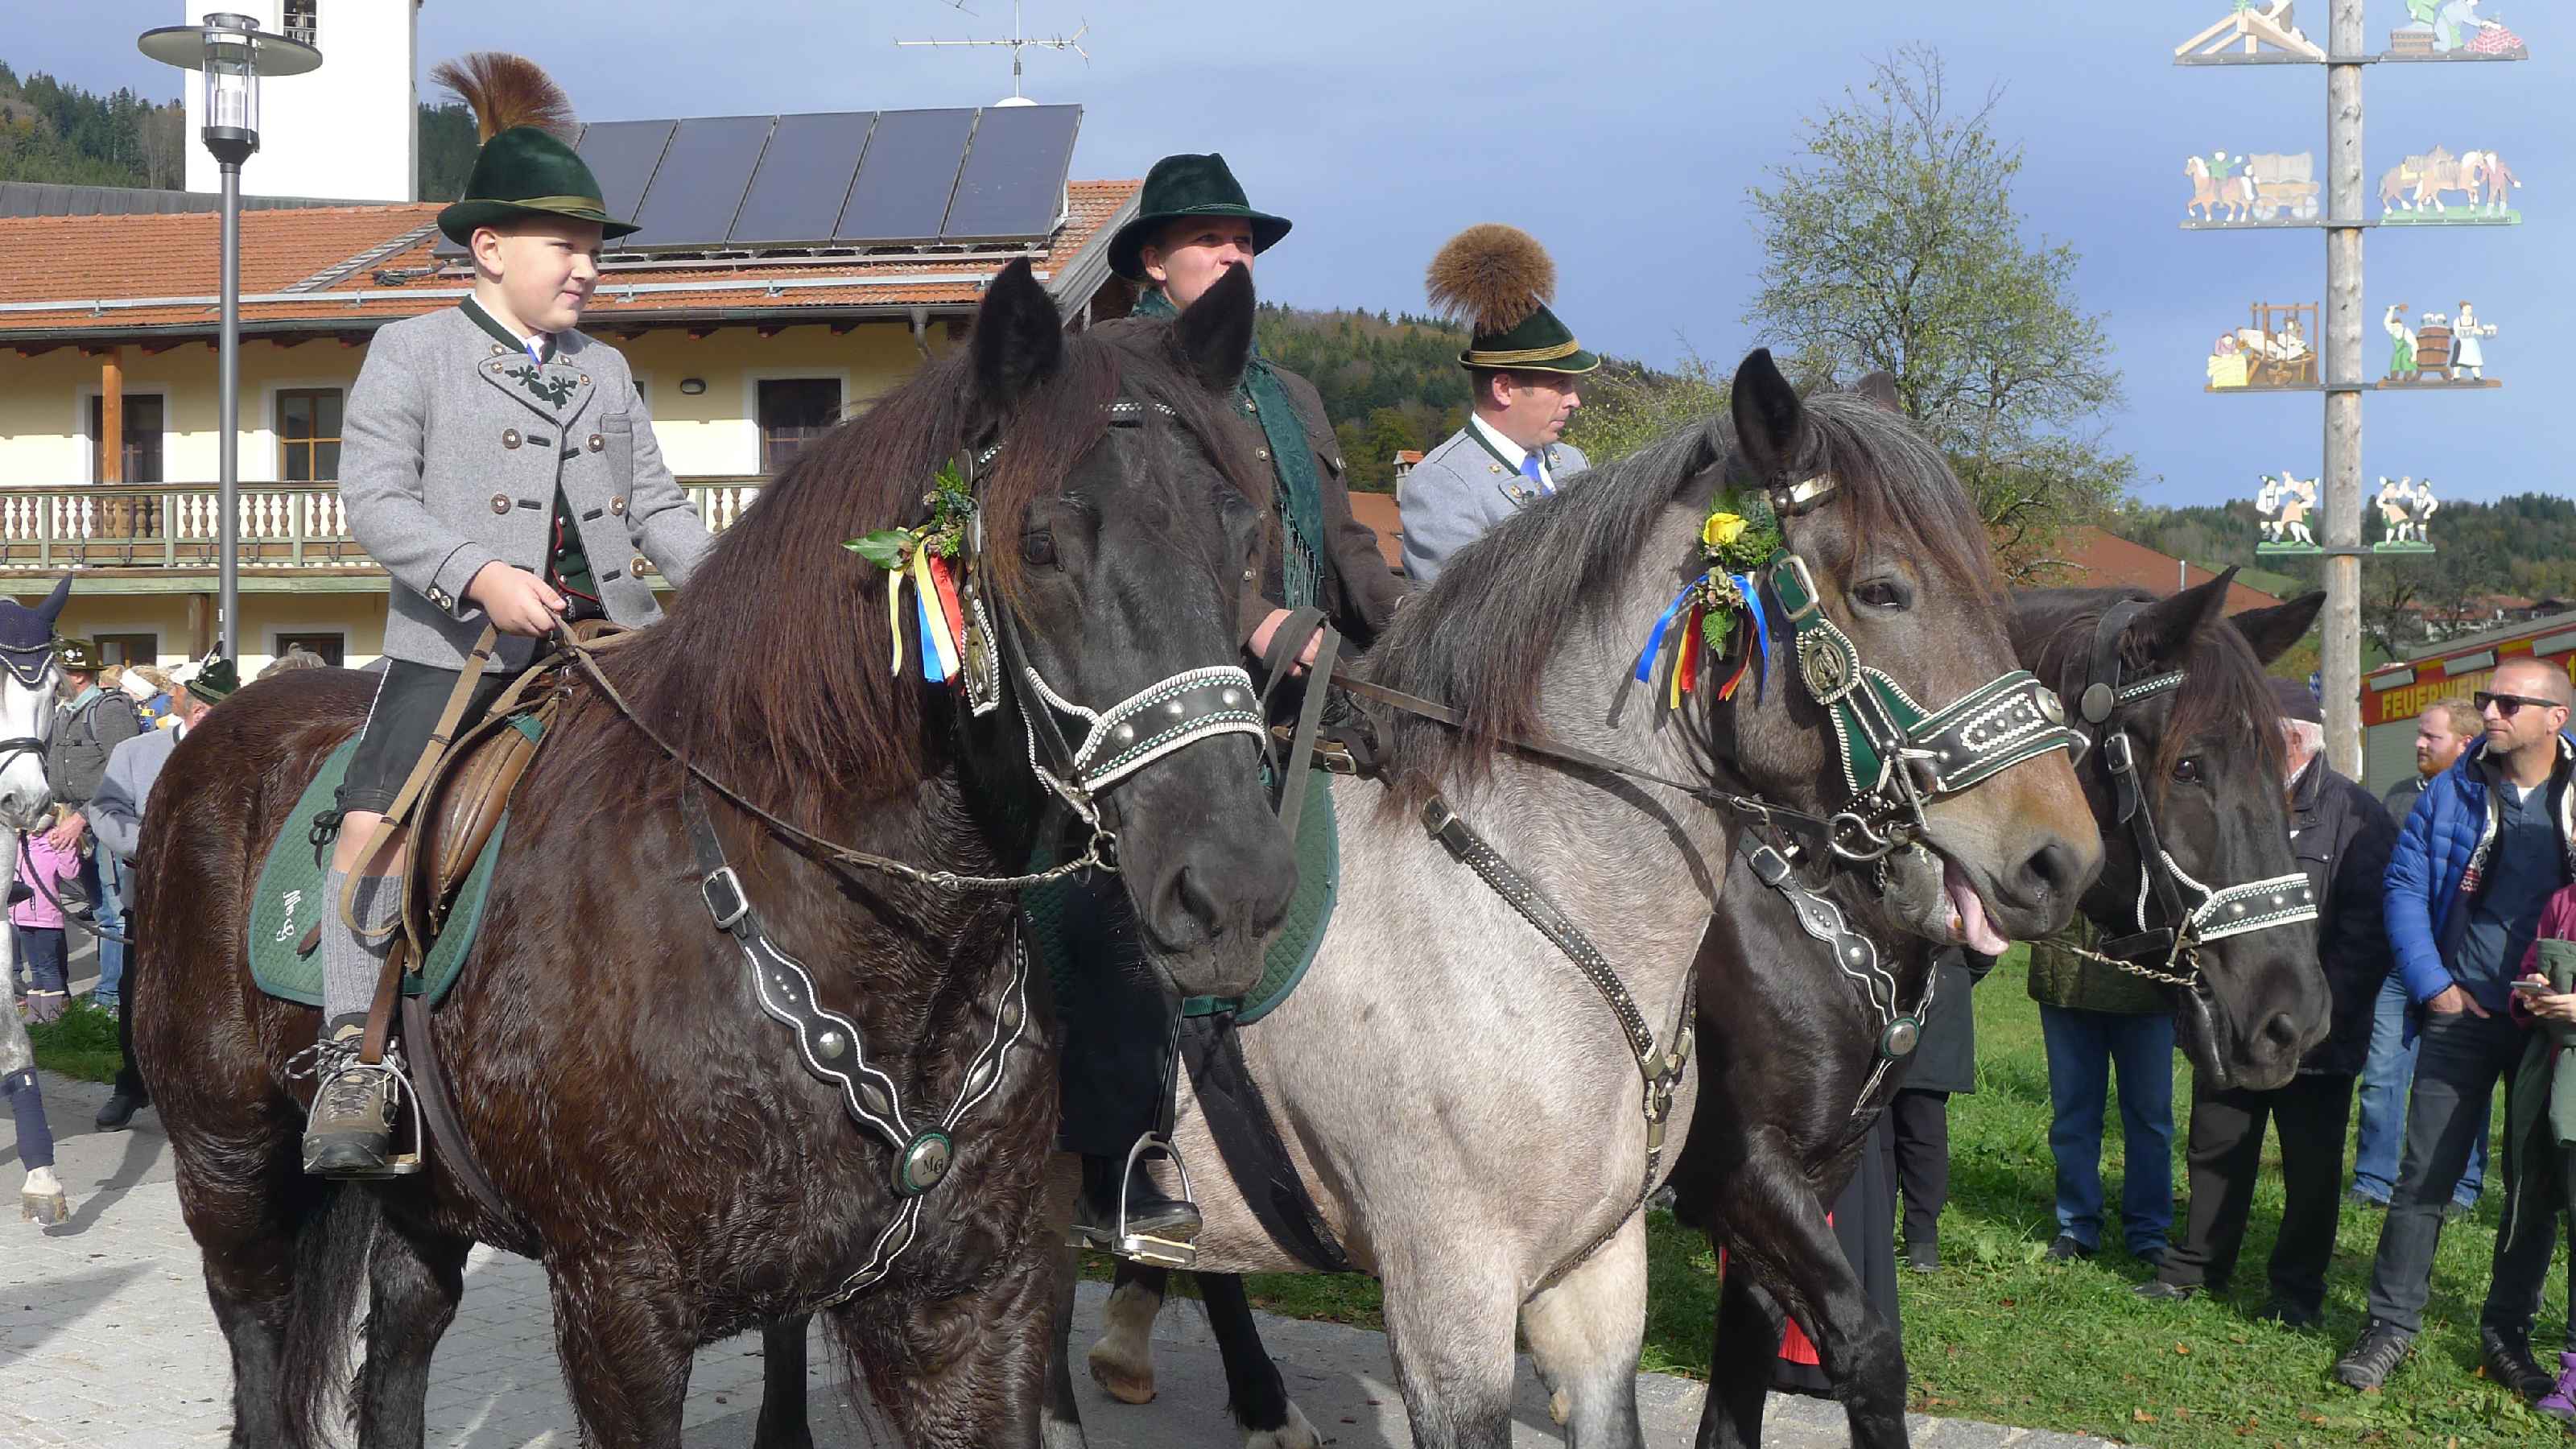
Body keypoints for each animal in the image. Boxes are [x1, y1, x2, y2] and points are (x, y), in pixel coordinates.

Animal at [131, 259, 1301, 1449]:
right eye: (1043, 543)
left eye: (1239, 532)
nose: (1235, 891)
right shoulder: (621, 1309)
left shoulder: (978, 1306)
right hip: (231, 1173)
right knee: (263, 1356)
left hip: (424, 1207)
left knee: (401, 1344)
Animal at [1055, 578, 2331, 1449]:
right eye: (2188, 767)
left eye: (2282, 768)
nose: (2294, 1018)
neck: (1809, 903)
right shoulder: (1738, 1173)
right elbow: (1864, 1347)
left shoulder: (1798, 1177)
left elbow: (1749, 1354)